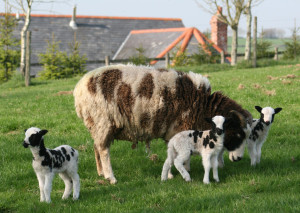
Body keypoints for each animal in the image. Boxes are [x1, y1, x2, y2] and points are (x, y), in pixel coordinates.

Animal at [74, 64, 252, 184]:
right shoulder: (180, 128)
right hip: (103, 121)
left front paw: (173, 173)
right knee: (103, 150)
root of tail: (79, 90)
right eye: (238, 133)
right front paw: (182, 171)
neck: (203, 106)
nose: (238, 159)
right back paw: (111, 177)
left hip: (96, 125)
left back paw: (101, 173)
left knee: (96, 147)